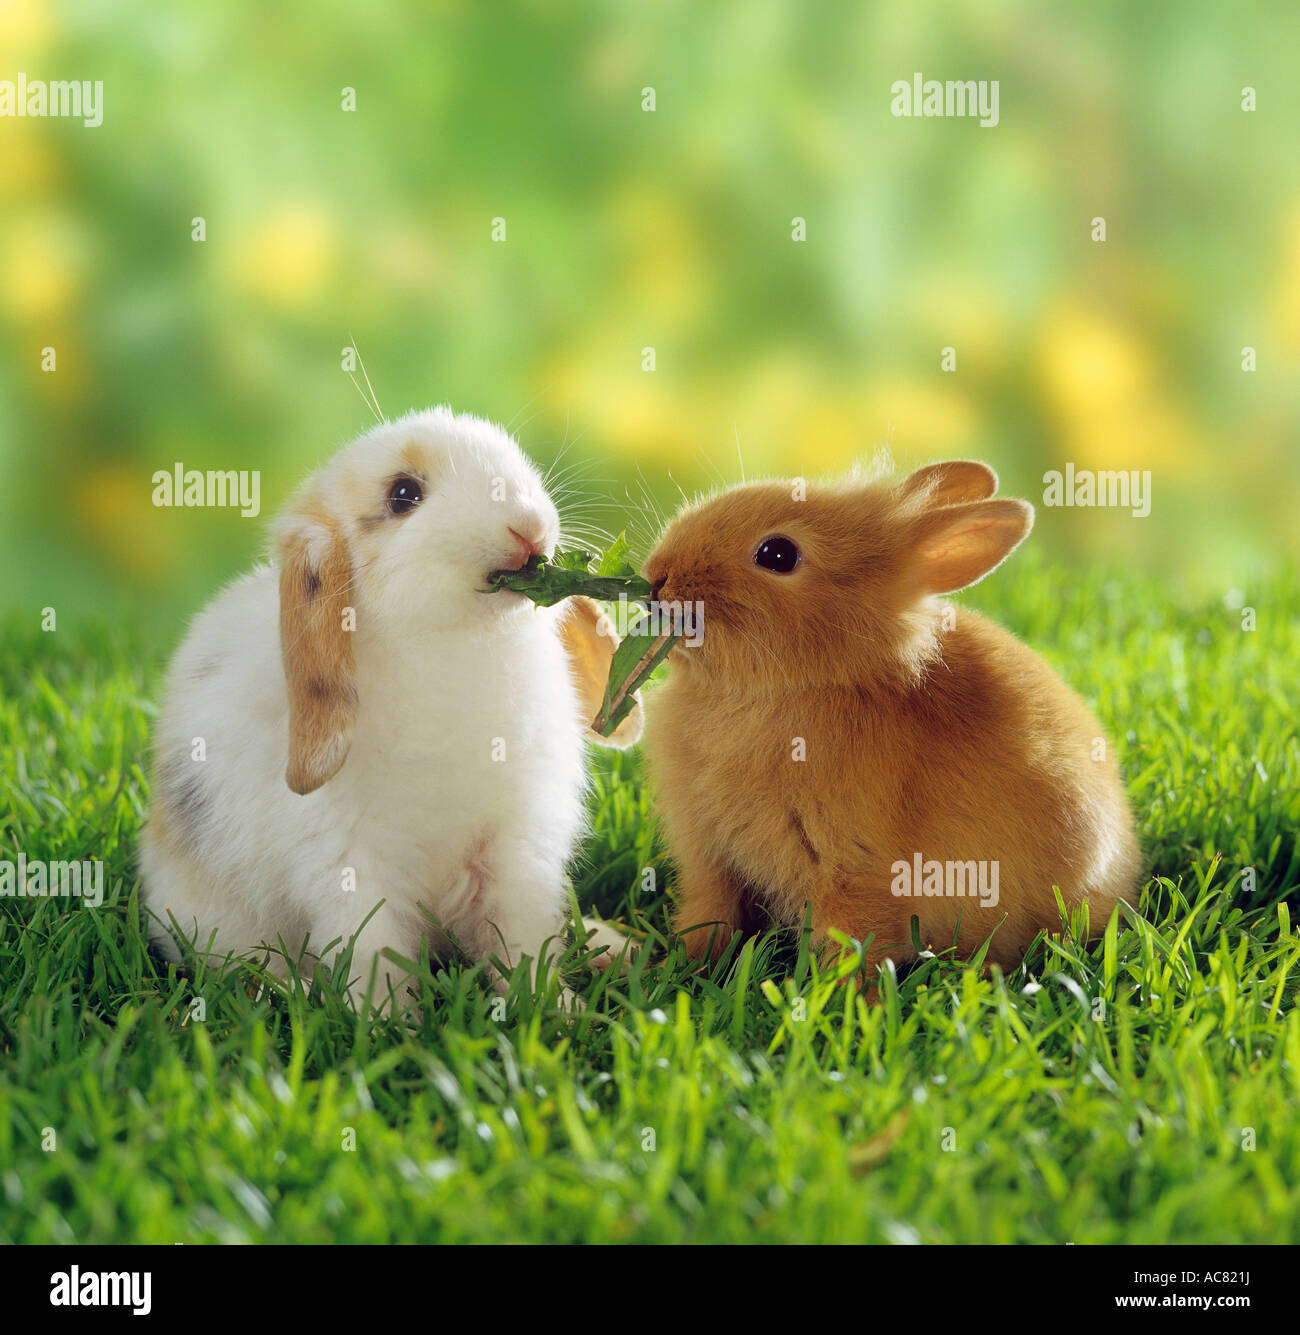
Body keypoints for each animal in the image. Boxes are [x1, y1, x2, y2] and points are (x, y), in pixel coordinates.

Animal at [139, 406, 642, 1008]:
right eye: (404, 495)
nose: (528, 526)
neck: (459, 643)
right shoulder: (352, 865)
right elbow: (375, 951)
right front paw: (384, 1022)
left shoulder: (515, 852)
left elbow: (521, 939)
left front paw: (553, 1010)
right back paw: (292, 990)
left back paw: (615, 947)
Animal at [640, 459, 1141, 977]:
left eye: (778, 554)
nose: (657, 578)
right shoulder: (709, 860)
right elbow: (708, 917)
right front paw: (678, 967)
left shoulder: (857, 876)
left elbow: (855, 944)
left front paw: (842, 996)